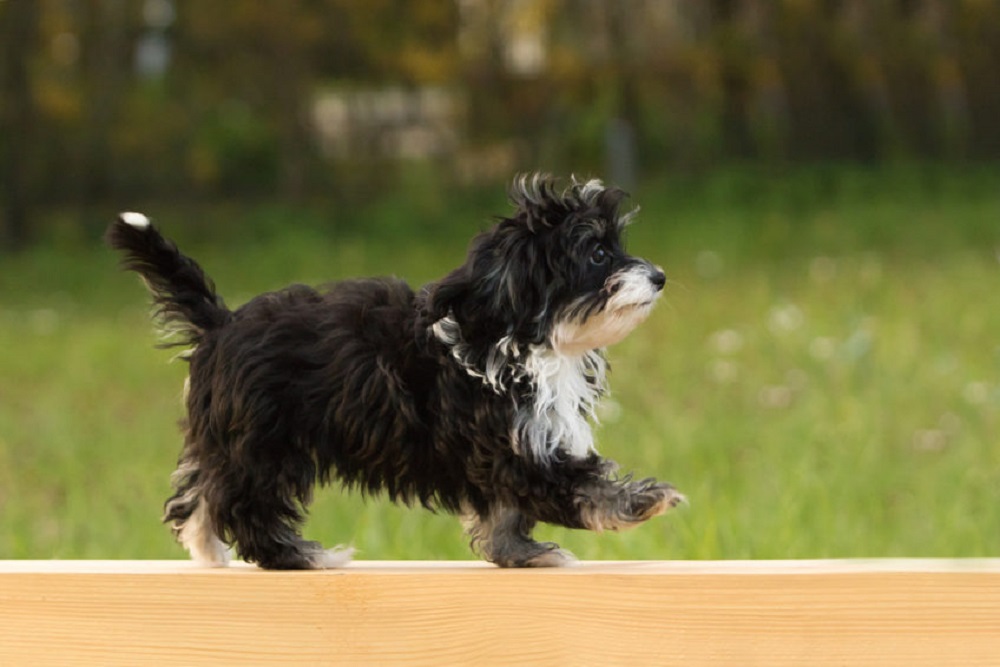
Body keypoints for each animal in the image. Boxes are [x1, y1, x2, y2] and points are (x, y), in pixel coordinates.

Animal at [107, 176, 688, 568]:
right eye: (598, 253)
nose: (659, 276)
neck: (521, 334)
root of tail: (221, 323)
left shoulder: (511, 445)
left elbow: (504, 512)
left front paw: (520, 553)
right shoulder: (511, 446)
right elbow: (572, 486)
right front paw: (643, 500)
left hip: (229, 439)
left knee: (198, 494)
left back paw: (207, 550)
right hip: (265, 444)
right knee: (246, 508)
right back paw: (304, 557)